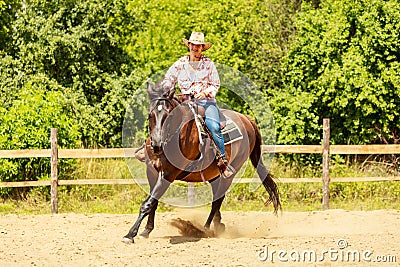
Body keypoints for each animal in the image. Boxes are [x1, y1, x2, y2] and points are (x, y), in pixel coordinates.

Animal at [122, 84, 282, 245]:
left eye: (170, 115)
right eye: (150, 115)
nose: (157, 145)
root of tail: (247, 119)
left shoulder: (168, 174)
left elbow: (148, 203)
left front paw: (130, 234)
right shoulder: (152, 172)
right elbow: (153, 201)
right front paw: (146, 230)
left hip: (230, 174)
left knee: (217, 201)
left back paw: (204, 229)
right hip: (214, 175)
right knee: (217, 198)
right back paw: (218, 225)